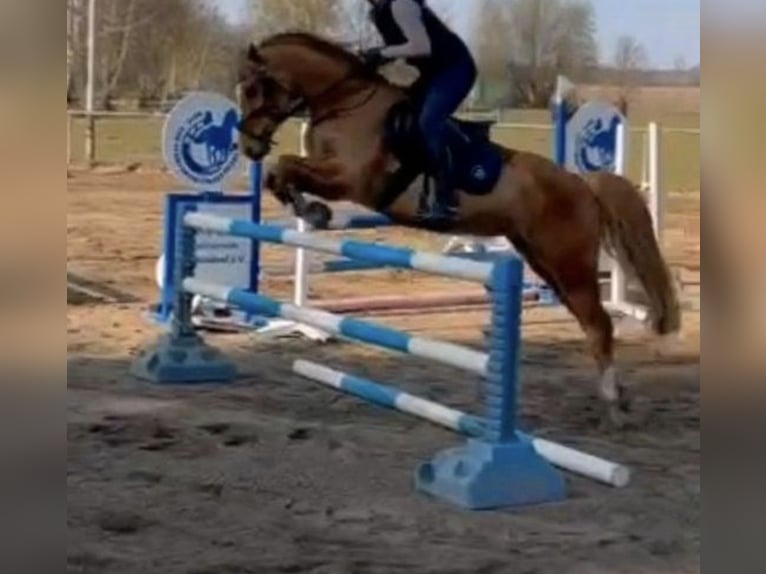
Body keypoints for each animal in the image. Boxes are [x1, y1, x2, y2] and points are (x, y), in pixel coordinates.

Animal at [235, 32, 681, 428]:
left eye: (255, 89)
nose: (249, 147)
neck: (345, 103)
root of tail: (581, 182)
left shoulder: (352, 179)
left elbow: (286, 165)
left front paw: (313, 209)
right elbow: (278, 172)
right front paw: (311, 209)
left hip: (569, 264)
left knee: (600, 325)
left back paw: (613, 407)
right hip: (545, 260)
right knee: (591, 323)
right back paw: (619, 397)